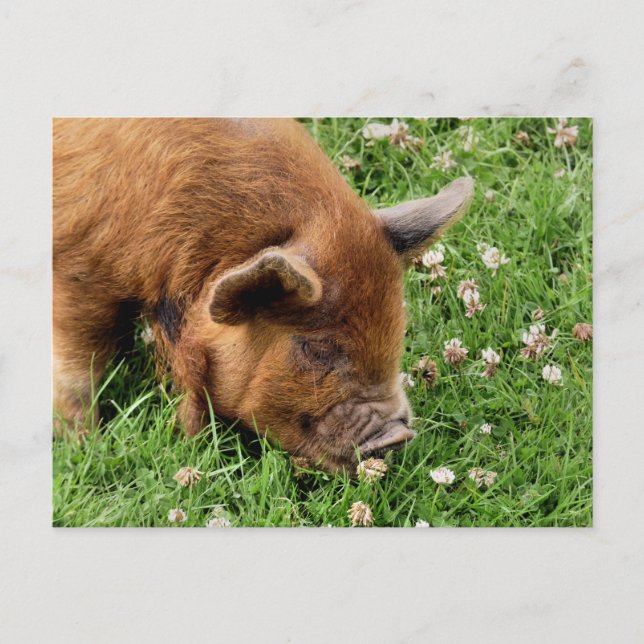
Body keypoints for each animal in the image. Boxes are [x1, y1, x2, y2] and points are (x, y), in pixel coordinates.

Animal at [53, 118, 473, 472]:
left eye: (397, 331)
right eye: (316, 347)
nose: (398, 435)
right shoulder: (78, 270)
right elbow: (77, 369)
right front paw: (84, 443)